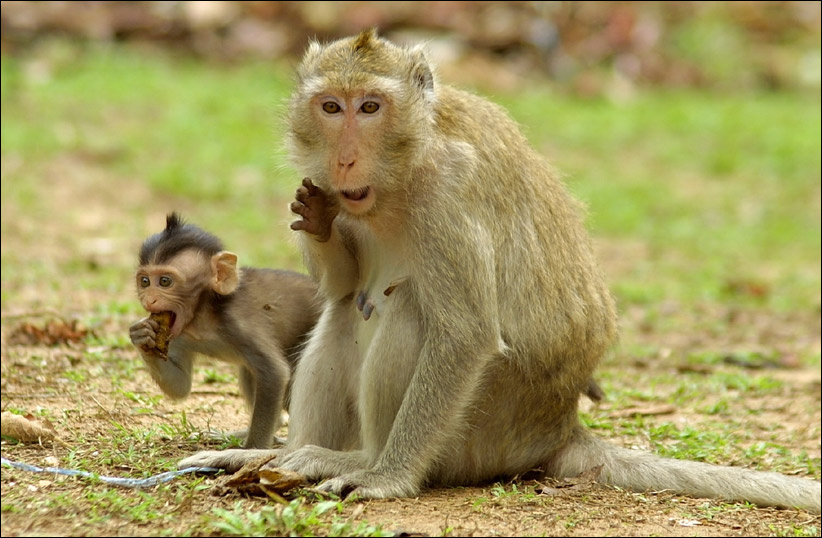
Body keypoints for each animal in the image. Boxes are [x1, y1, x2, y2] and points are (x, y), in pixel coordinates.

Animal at [129, 212, 322, 449]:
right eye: (145, 281)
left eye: (165, 281)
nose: (149, 299)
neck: (203, 316)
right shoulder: (178, 335)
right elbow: (181, 386)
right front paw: (141, 336)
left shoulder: (240, 322)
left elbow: (275, 373)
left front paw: (251, 451)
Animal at [179, 30, 821, 513]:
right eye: (331, 107)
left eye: (371, 107)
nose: (345, 159)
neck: (404, 170)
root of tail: (558, 428)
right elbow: (340, 286)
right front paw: (317, 222)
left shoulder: (448, 194)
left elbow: (465, 335)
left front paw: (387, 480)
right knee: (343, 312)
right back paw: (271, 457)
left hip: (477, 440)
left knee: (413, 312)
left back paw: (359, 461)